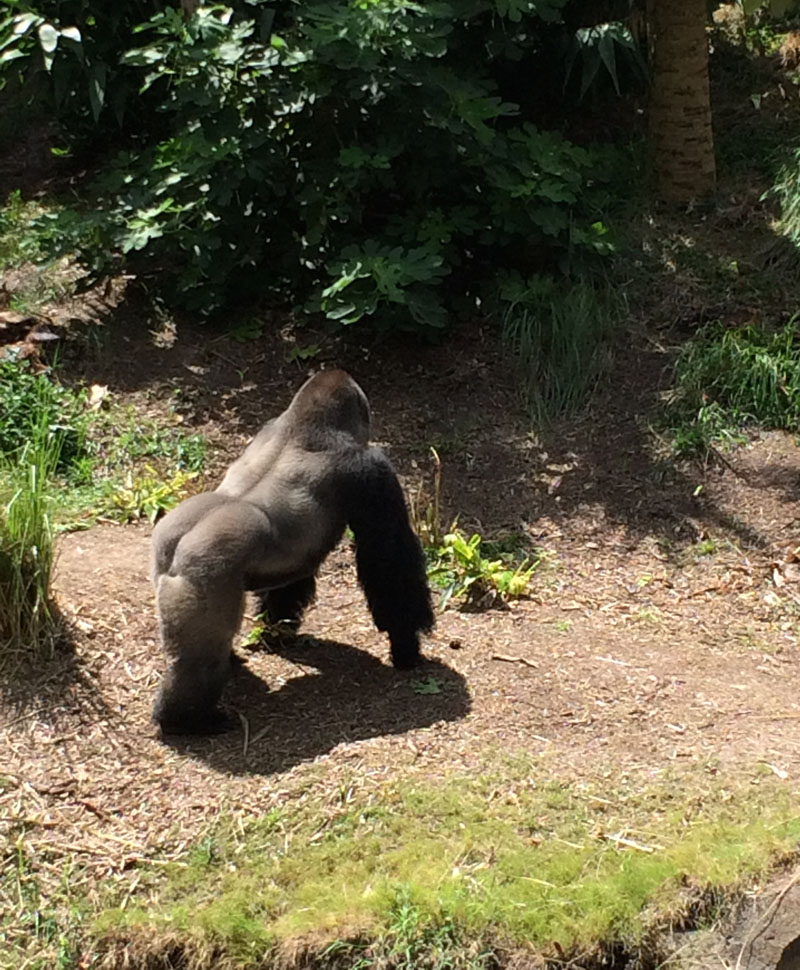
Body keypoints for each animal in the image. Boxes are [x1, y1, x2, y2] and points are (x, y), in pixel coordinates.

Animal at [152, 370, 434, 732]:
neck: (301, 425)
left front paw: (277, 629)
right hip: (203, 581)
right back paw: (189, 720)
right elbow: (388, 560)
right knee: (199, 659)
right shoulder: (371, 471)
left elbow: (289, 581)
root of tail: (174, 552)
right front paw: (406, 643)